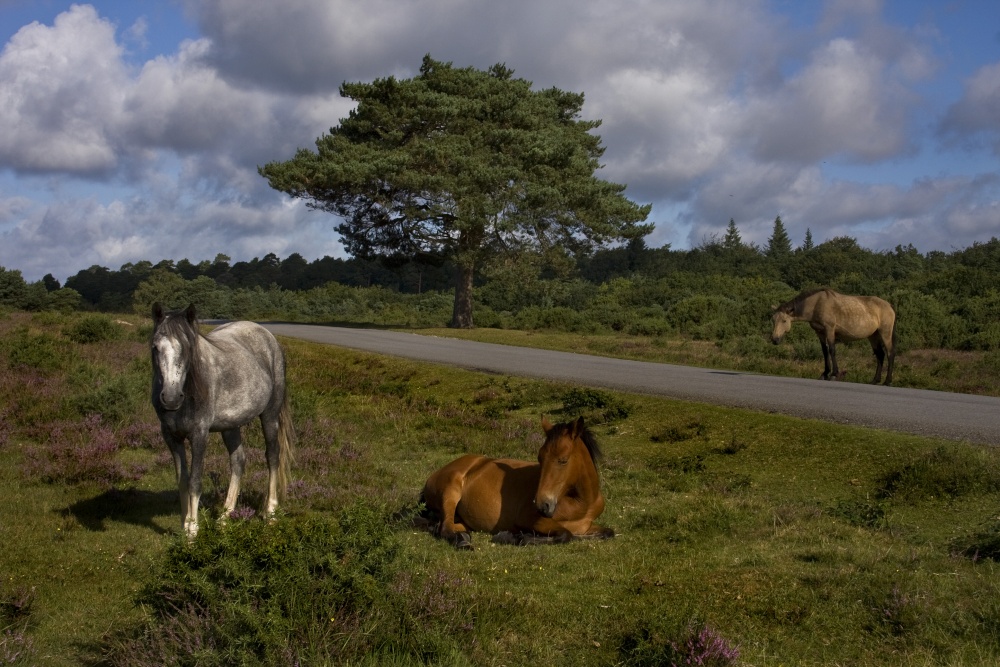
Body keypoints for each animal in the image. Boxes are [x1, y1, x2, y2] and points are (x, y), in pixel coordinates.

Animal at [150, 302, 292, 536]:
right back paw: (225, 517)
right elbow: (182, 480)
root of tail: (268, 336)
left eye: (188, 348)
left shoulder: (199, 434)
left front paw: (192, 531)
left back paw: (270, 512)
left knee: (272, 456)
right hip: (231, 426)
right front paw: (184, 526)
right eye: (155, 347)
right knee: (238, 461)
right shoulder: (171, 437)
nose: (170, 398)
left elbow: (195, 481)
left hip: (270, 415)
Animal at [420, 414, 612, 552]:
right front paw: (515, 537)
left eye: (563, 461)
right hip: (450, 493)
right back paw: (462, 542)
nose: (542, 505)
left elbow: (607, 532)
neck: (582, 504)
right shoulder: (531, 519)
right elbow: (566, 534)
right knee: (445, 528)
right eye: (540, 459)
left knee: (448, 526)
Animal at [772, 288, 900, 386]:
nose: (774, 340)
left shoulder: (829, 330)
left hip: (885, 333)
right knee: (880, 355)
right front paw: (825, 373)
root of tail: (889, 305)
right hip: (873, 336)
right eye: (773, 320)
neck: (816, 304)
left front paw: (834, 374)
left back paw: (887, 381)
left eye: (784, 320)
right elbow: (825, 352)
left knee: (890, 353)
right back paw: (875, 380)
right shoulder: (820, 333)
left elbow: (832, 350)